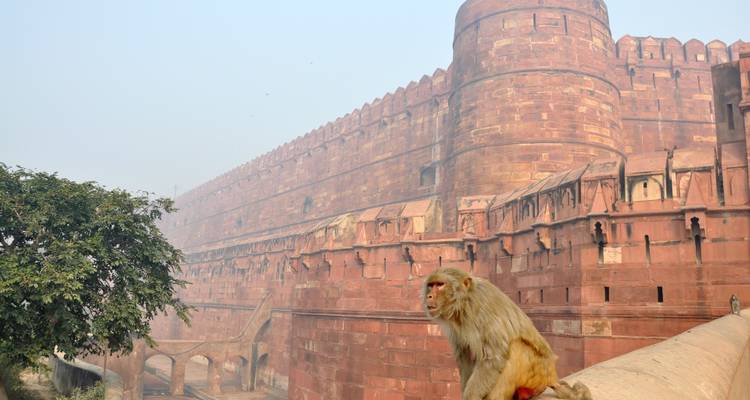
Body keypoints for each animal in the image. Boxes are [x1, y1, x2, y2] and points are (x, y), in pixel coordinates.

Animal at [423, 268, 591, 400]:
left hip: (538, 372)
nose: (429, 296)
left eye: (440, 285)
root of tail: (552, 375)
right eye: (431, 286)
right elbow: (466, 356)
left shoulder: (481, 309)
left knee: (515, 348)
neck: (463, 303)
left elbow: (494, 358)